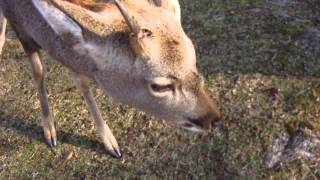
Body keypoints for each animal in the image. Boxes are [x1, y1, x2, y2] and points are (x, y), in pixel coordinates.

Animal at [0, 0, 220, 158]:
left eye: (194, 59)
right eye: (160, 86)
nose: (213, 118)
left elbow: (81, 81)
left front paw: (111, 144)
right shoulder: (18, 26)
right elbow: (38, 71)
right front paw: (50, 132)